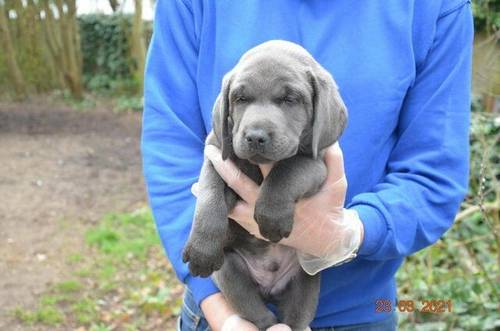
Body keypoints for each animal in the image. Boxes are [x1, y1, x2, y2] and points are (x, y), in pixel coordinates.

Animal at [183, 39, 348, 331]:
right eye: (240, 99)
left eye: (290, 99)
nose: (255, 137)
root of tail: (269, 288)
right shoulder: (216, 154)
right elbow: (209, 195)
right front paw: (202, 249)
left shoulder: (316, 163)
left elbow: (286, 170)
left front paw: (271, 217)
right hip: (230, 270)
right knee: (261, 317)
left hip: (305, 279)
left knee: (295, 319)